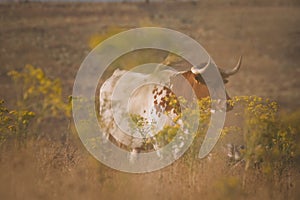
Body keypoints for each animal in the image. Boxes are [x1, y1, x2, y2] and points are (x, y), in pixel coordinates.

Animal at [98, 54, 241, 161]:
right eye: (209, 82)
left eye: (223, 81)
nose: (228, 103)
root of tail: (114, 75)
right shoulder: (158, 139)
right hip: (106, 131)